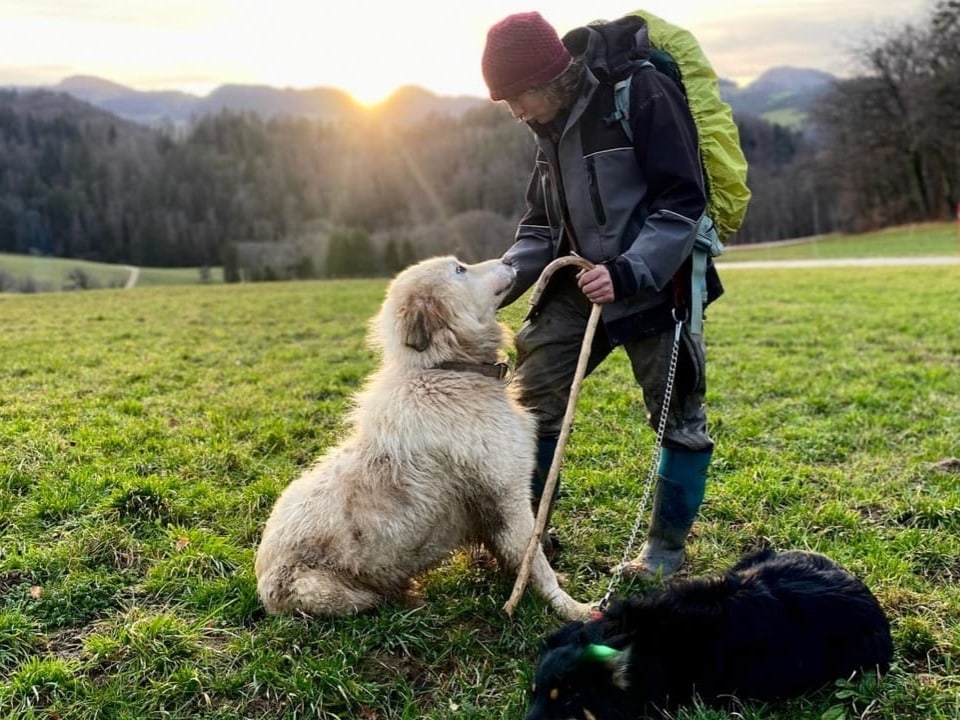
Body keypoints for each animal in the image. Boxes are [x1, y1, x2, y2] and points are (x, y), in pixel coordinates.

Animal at [253, 258, 592, 620]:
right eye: (460, 269)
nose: (510, 261)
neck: (447, 369)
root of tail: (263, 587)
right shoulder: (509, 497)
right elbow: (534, 560)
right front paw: (571, 607)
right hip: (333, 592)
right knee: (371, 600)